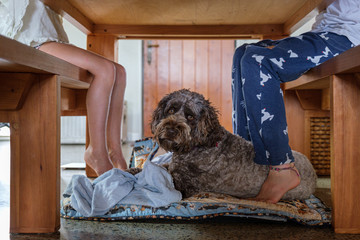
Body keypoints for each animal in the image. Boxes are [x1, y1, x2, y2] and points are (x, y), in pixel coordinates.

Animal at [150, 89, 316, 200]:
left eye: (190, 116)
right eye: (171, 110)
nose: (171, 130)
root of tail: (312, 170)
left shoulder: (187, 186)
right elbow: (160, 166)